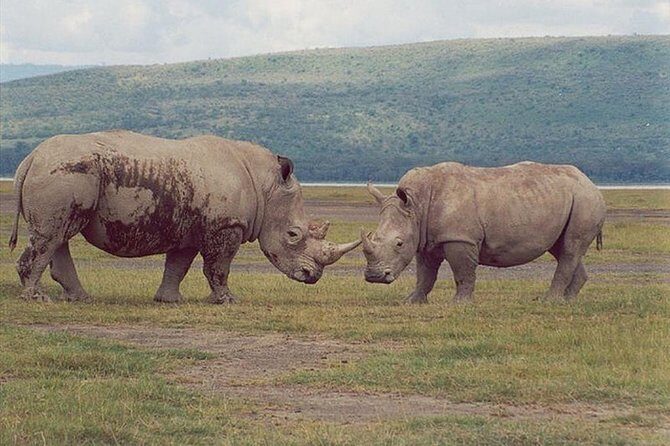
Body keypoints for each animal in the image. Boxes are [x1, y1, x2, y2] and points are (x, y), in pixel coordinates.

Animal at [8, 130, 360, 303]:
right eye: (293, 235)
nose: (312, 276)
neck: (266, 186)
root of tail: (30, 158)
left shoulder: (191, 227)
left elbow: (178, 265)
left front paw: (169, 300)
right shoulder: (225, 226)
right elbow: (219, 266)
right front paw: (227, 300)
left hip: (63, 173)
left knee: (59, 235)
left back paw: (80, 298)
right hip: (65, 173)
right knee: (53, 235)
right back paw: (37, 298)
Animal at [361, 161, 606, 302]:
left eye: (399, 243)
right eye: (375, 237)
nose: (374, 277)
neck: (417, 204)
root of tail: (591, 183)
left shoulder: (460, 238)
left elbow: (463, 272)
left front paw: (460, 304)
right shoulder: (425, 239)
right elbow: (425, 274)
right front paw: (412, 301)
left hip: (585, 200)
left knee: (570, 248)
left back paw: (550, 301)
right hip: (568, 199)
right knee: (562, 248)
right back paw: (568, 301)